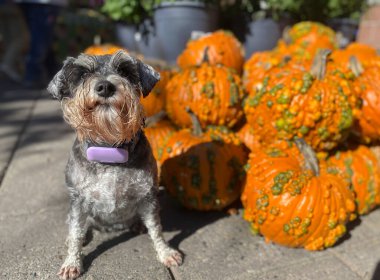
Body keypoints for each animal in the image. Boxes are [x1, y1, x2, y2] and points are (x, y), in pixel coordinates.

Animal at [47, 50, 183, 280]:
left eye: (124, 70)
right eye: (83, 73)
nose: (105, 87)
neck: (109, 152)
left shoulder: (148, 197)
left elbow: (156, 228)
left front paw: (166, 252)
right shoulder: (78, 200)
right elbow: (75, 233)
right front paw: (71, 263)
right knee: (80, 227)